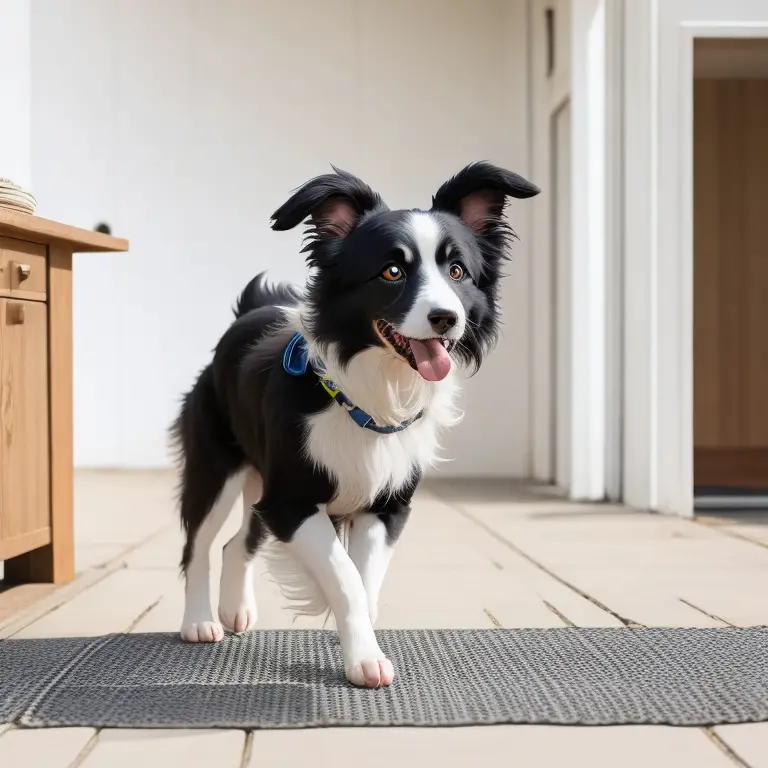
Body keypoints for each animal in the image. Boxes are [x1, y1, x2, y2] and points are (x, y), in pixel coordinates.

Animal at [171, 164, 536, 688]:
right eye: (392, 271)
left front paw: (360, 648)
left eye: (457, 271)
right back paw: (200, 621)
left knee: (237, 543)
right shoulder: (290, 502)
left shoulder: (385, 506)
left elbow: (364, 582)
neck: (371, 394)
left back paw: (234, 610)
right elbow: (344, 580)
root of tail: (250, 311)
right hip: (216, 466)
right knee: (198, 545)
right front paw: (362, 657)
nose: (446, 318)